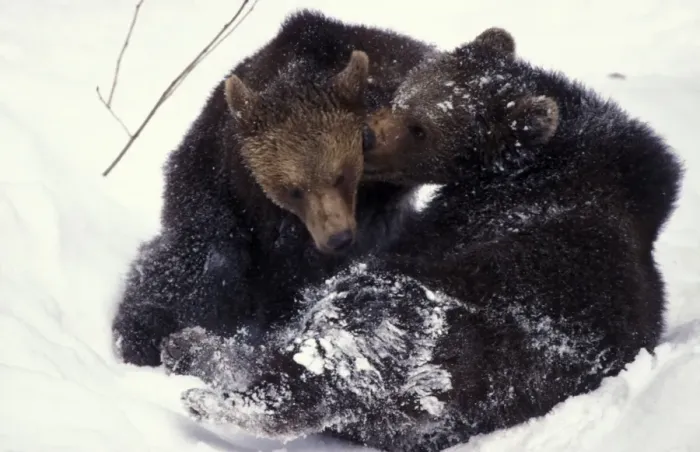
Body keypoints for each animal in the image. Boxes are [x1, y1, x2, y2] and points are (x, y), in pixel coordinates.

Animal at [164, 26, 683, 452]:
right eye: (404, 94)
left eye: (421, 128)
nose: (365, 136)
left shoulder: (484, 220)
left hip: (433, 322)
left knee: (339, 339)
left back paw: (201, 364)